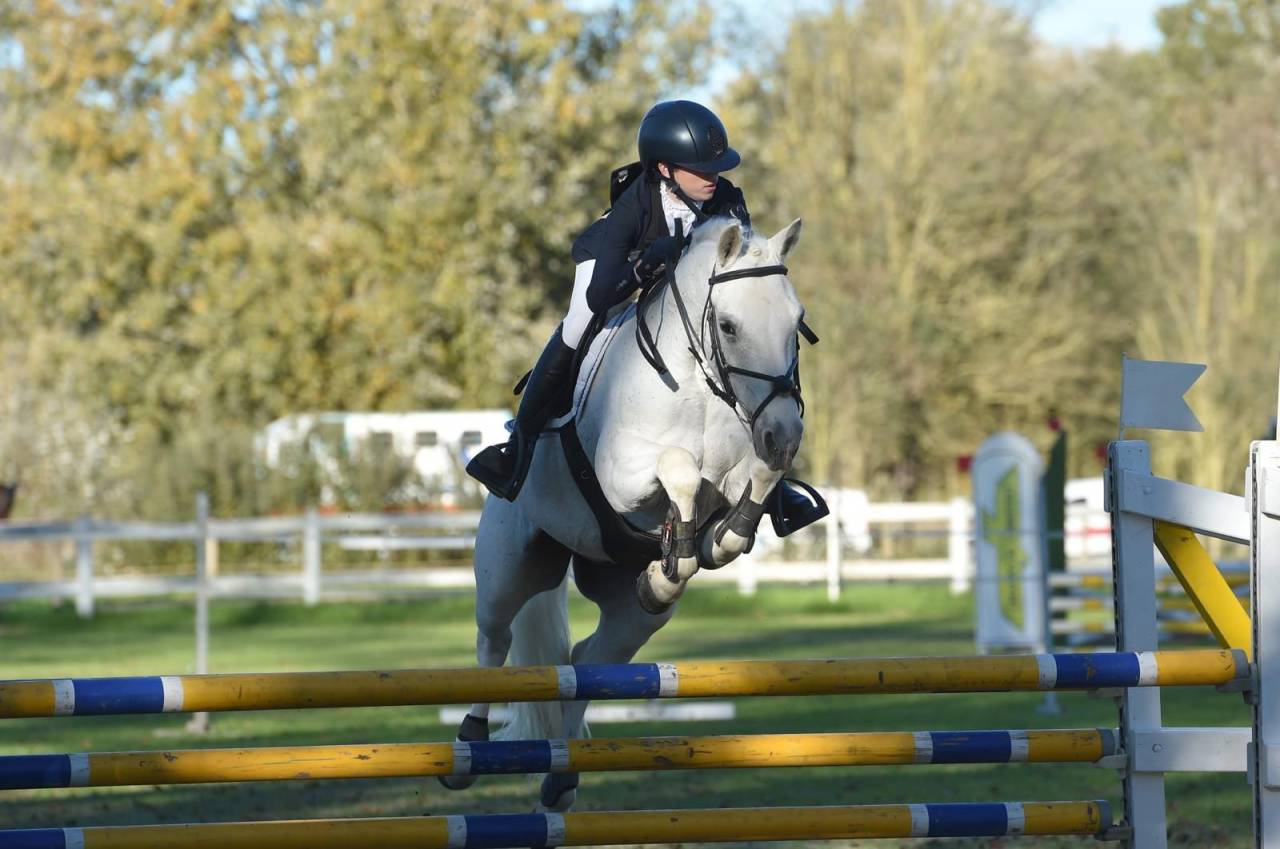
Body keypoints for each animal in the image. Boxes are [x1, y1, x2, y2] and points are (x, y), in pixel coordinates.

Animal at [441, 216, 809, 812]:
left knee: (586, 662)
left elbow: (750, 486)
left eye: (796, 324)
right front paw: (680, 553)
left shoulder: (745, 463)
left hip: (628, 613)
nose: (785, 433)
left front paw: (698, 551)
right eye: (728, 326)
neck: (702, 389)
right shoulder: (621, 476)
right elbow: (680, 470)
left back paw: (563, 775)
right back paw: (469, 747)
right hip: (506, 571)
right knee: (493, 643)